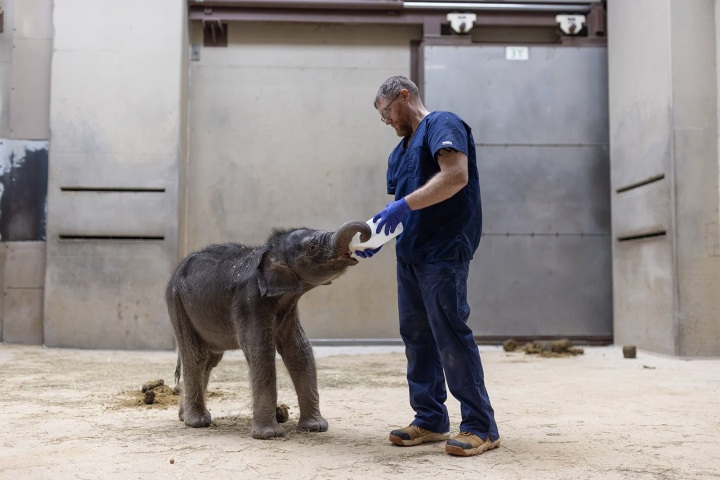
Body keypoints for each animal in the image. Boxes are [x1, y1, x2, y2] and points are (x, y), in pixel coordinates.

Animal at [166, 220, 371, 439]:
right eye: (312, 247)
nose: (363, 238)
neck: (270, 251)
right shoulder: (249, 300)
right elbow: (261, 351)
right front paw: (269, 435)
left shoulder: (288, 306)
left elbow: (299, 350)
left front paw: (315, 427)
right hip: (177, 302)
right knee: (196, 357)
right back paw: (197, 422)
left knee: (210, 360)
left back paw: (185, 416)